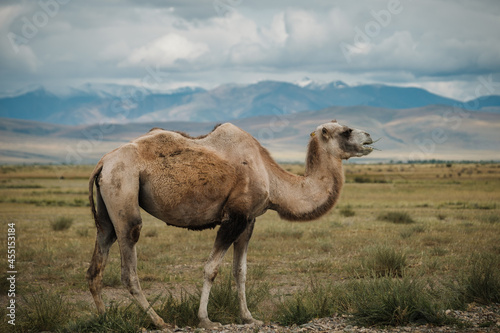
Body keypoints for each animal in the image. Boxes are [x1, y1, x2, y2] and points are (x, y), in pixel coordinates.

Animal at [87, 119, 376, 326]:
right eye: (347, 131)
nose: (370, 137)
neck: (272, 179)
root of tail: (102, 162)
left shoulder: (249, 220)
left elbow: (241, 271)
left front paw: (249, 317)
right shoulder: (233, 218)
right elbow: (211, 269)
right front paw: (205, 319)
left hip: (106, 210)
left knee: (97, 260)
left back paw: (104, 318)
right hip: (124, 190)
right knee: (129, 262)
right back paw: (159, 321)